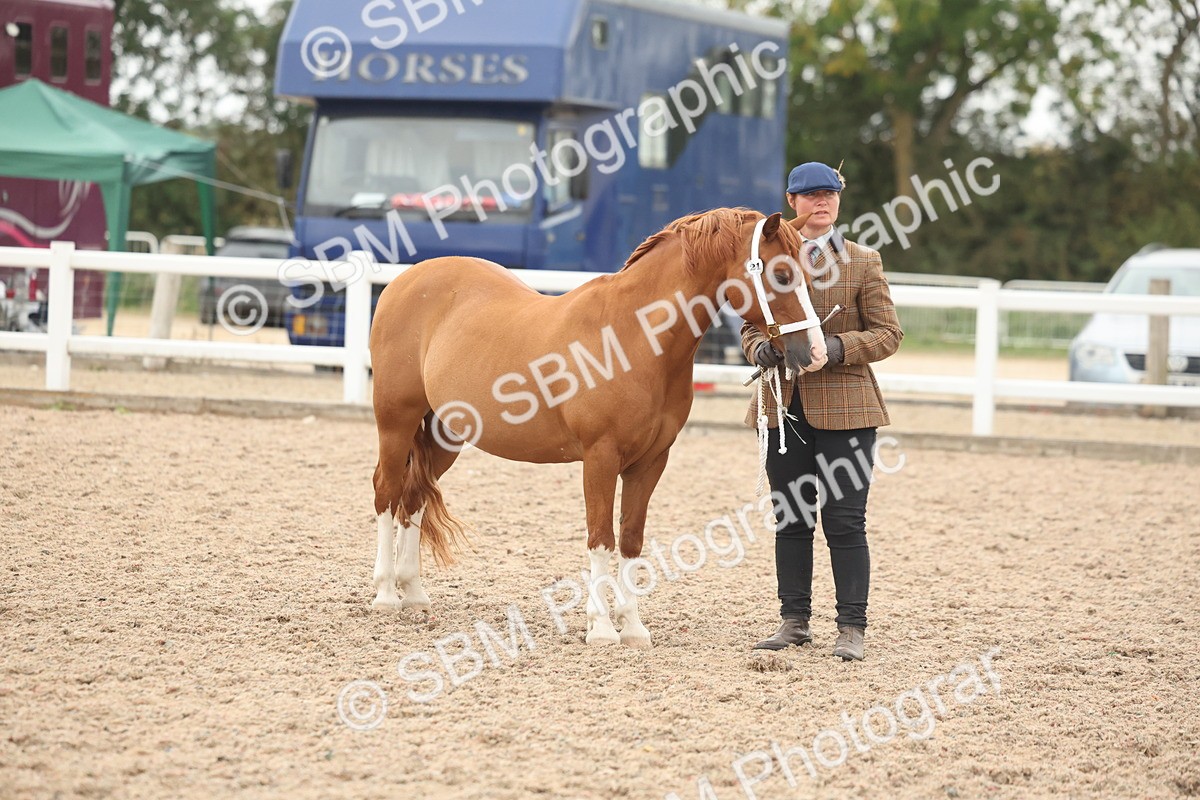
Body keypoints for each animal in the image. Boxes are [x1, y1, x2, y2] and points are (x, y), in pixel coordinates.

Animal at [367, 207, 827, 647]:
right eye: (781, 275)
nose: (816, 353)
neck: (632, 337)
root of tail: (403, 282)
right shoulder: (600, 457)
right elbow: (601, 537)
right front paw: (602, 628)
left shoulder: (650, 462)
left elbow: (631, 539)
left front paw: (634, 628)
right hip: (396, 423)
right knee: (387, 493)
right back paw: (386, 594)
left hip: (444, 435)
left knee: (414, 498)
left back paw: (414, 594)